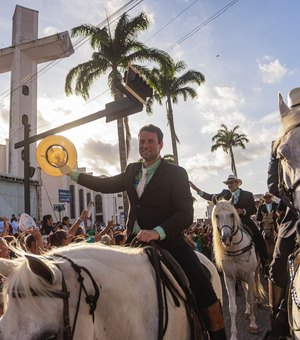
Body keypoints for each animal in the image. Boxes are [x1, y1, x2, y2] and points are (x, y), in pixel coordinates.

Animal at [211, 199, 264, 340]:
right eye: (217, 216)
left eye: (231, 214)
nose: (226, 238)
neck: (235, 249)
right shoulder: (229, 278)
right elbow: (232, 307)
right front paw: (233, 335)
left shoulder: (249, 275)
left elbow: (250, 299)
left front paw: (253, 325)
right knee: (245, 290)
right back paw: (247, 311)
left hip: (255, 271)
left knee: (255, 285)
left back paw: (259, 301)